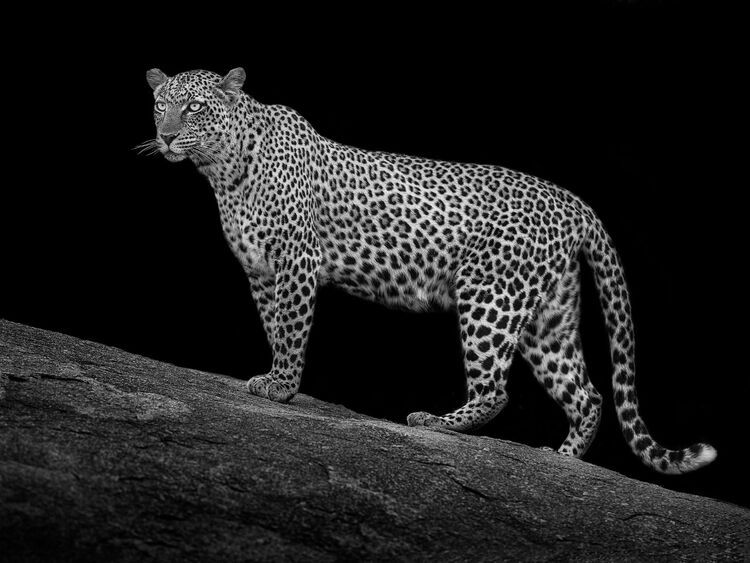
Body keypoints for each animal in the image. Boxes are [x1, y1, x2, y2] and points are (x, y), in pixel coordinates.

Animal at [141, 67, 716, 474]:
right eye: (160, 107)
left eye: (194, 108)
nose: (166, 137)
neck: (224, 170)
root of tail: (576, 203)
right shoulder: (260, 271)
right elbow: (275, 325)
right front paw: (275, 377)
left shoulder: (296, 261)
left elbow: (292, 327)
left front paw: (280, 387)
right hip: (547, 317)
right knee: (587, 393)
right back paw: (562, 458)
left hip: (490, 297)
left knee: (496, 390)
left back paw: (438, 422)